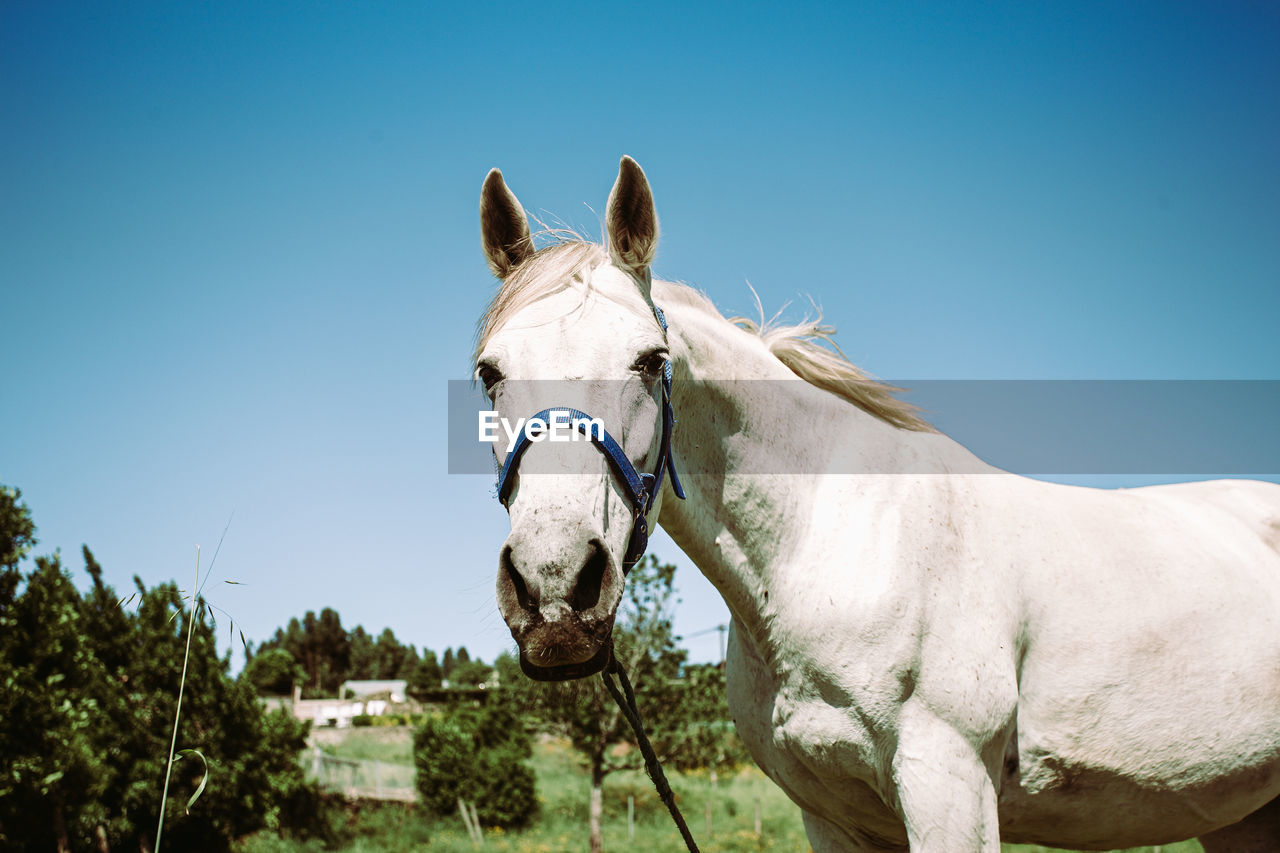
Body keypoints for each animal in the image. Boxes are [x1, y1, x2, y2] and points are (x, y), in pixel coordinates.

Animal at [478, 156, 1280, 845]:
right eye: (489, 372)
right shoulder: (833, 816)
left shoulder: (949, 788)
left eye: (652, 361)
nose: (554, 588)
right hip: (1242, 814)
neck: (834, 547)